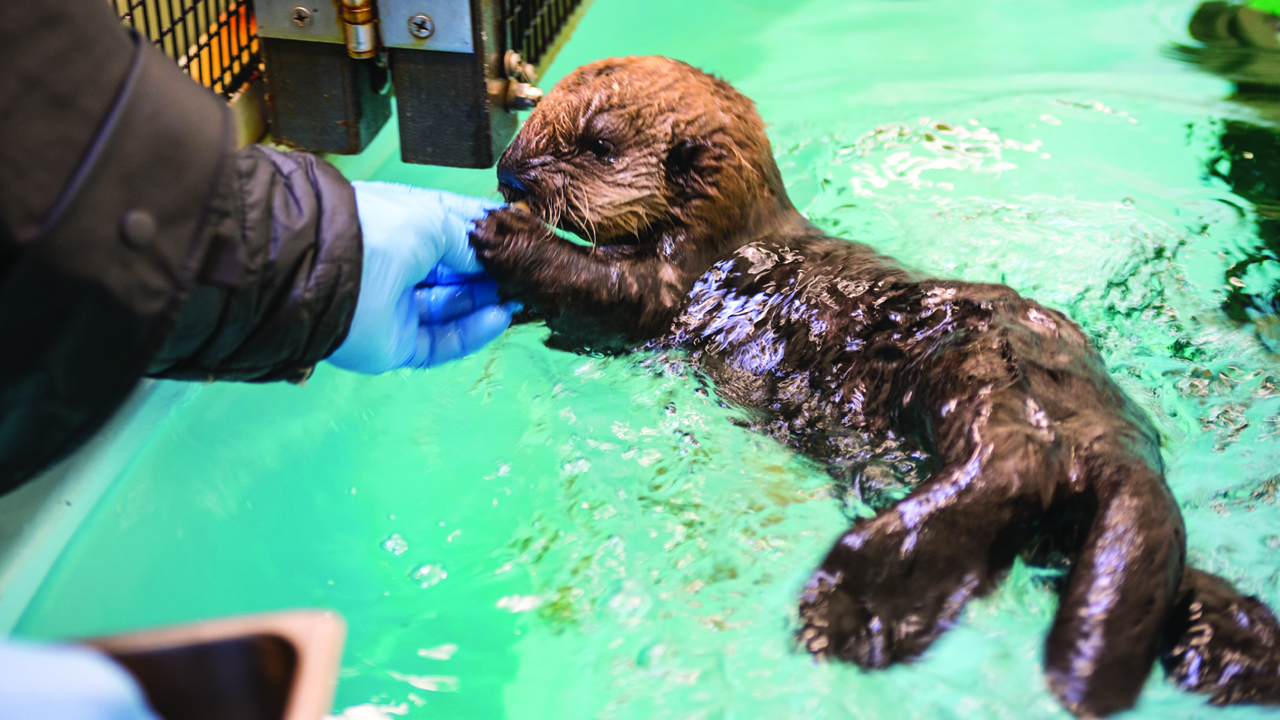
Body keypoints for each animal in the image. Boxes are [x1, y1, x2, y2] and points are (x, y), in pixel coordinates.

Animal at [465, 54, 1280, 712]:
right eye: (534, 116)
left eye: (596, 146)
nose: (508, 173)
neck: (737, 227)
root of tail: (1110, 437)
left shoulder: (680, 277)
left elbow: (609, 292)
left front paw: (503, 233)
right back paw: (1230, 641)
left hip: (975, 384)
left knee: (1004, 467)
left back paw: (851, 607)